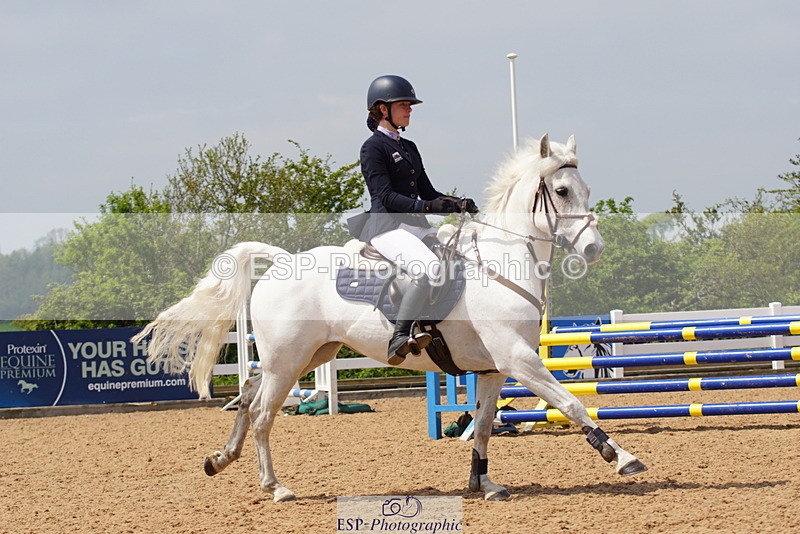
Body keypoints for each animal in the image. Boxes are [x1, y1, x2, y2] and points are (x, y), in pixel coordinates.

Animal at [134, 133, 647, 502]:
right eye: (561, 190)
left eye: (585, 189)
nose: (593, 249)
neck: (502, 261)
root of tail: (281, 261)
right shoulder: (520, 359)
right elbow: (573, 404)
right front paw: (621, 457)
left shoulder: (496, 369)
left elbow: (484, 426)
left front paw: (483, 485)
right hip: (287, 360)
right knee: (262, 413)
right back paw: (275, 487)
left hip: (304, 355)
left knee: (245, 395)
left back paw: (220, 459)